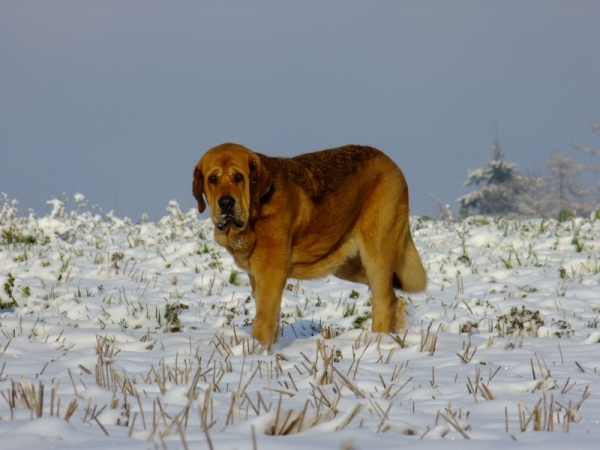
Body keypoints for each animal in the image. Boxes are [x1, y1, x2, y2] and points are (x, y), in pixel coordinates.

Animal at [192, 142, 426, 346]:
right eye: (212, 179)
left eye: (238, 177)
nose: (226, 203)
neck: (253, 216)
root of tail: (390, 161)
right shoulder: (256, 276)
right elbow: (270, 316)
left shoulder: (271, 273)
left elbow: (263, 318)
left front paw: (256, 352)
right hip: (350, 265)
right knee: (393, 295)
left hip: (376, 253)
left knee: (383, 302)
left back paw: (378, 342)